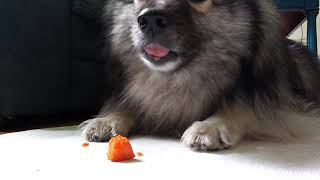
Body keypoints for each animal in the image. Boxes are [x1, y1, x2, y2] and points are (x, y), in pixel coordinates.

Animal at [80, 0, 320, 151]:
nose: (149, 20)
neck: (178, 77)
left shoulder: (284, 108)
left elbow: (243, 107)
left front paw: (210, 126)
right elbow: (131, 105)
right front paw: (108, 119)